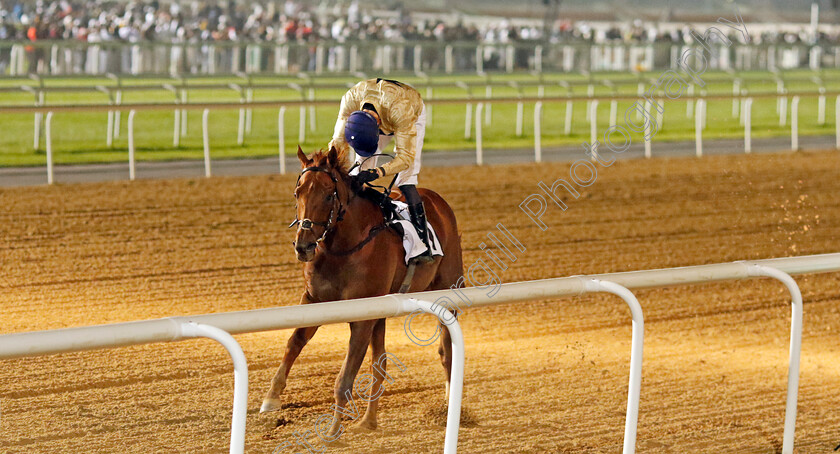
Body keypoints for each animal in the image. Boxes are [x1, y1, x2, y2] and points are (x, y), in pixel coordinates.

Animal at [260, 146, 462, 436]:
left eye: (328, 194)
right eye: (297, 193)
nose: (303, 246)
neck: (342, 246)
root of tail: (437, 201)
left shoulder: (362, 316)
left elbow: (346, 375)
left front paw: (333, 430)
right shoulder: (315, 299)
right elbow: (294, 342)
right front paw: (271, 397)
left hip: (448, 290)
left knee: (447, 350)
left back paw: (448, 403)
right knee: (381, 362)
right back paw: (369, 420)